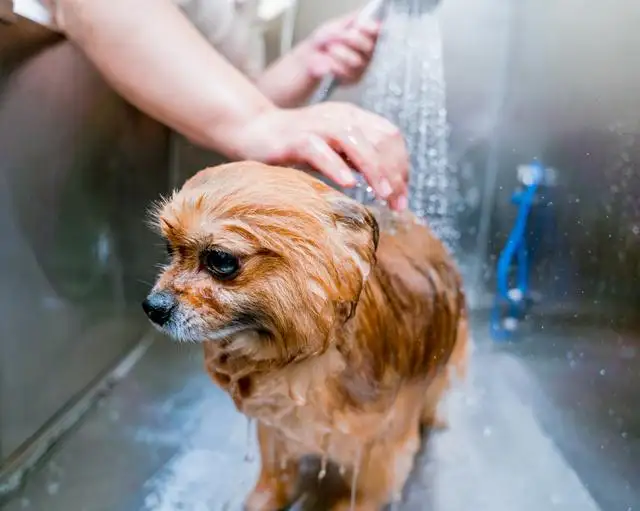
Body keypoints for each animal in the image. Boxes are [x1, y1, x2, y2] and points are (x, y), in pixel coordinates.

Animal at [142, 163, 468, 511]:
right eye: (169, 249)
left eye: (220, 259)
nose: (152, 307)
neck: (300, 363)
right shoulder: (276, 429)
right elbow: (276, 476)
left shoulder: (381, 448)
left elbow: (366, 495)